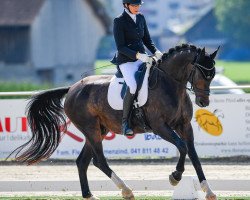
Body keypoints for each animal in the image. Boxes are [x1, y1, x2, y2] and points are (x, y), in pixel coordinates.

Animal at [12, 44, 219, 200]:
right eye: (201, 73)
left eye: (213, 75)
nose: (204, 102)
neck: (170, 84)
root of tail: (72, 88)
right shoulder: (160, 127)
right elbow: (182, 147)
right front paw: (175, 177)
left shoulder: (184, 126)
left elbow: (193, 155)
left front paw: (208, 190)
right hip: (91, 129)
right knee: (99, 161)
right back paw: (126, 190)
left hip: (99, 130)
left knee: (82, 161)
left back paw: (89, 195)